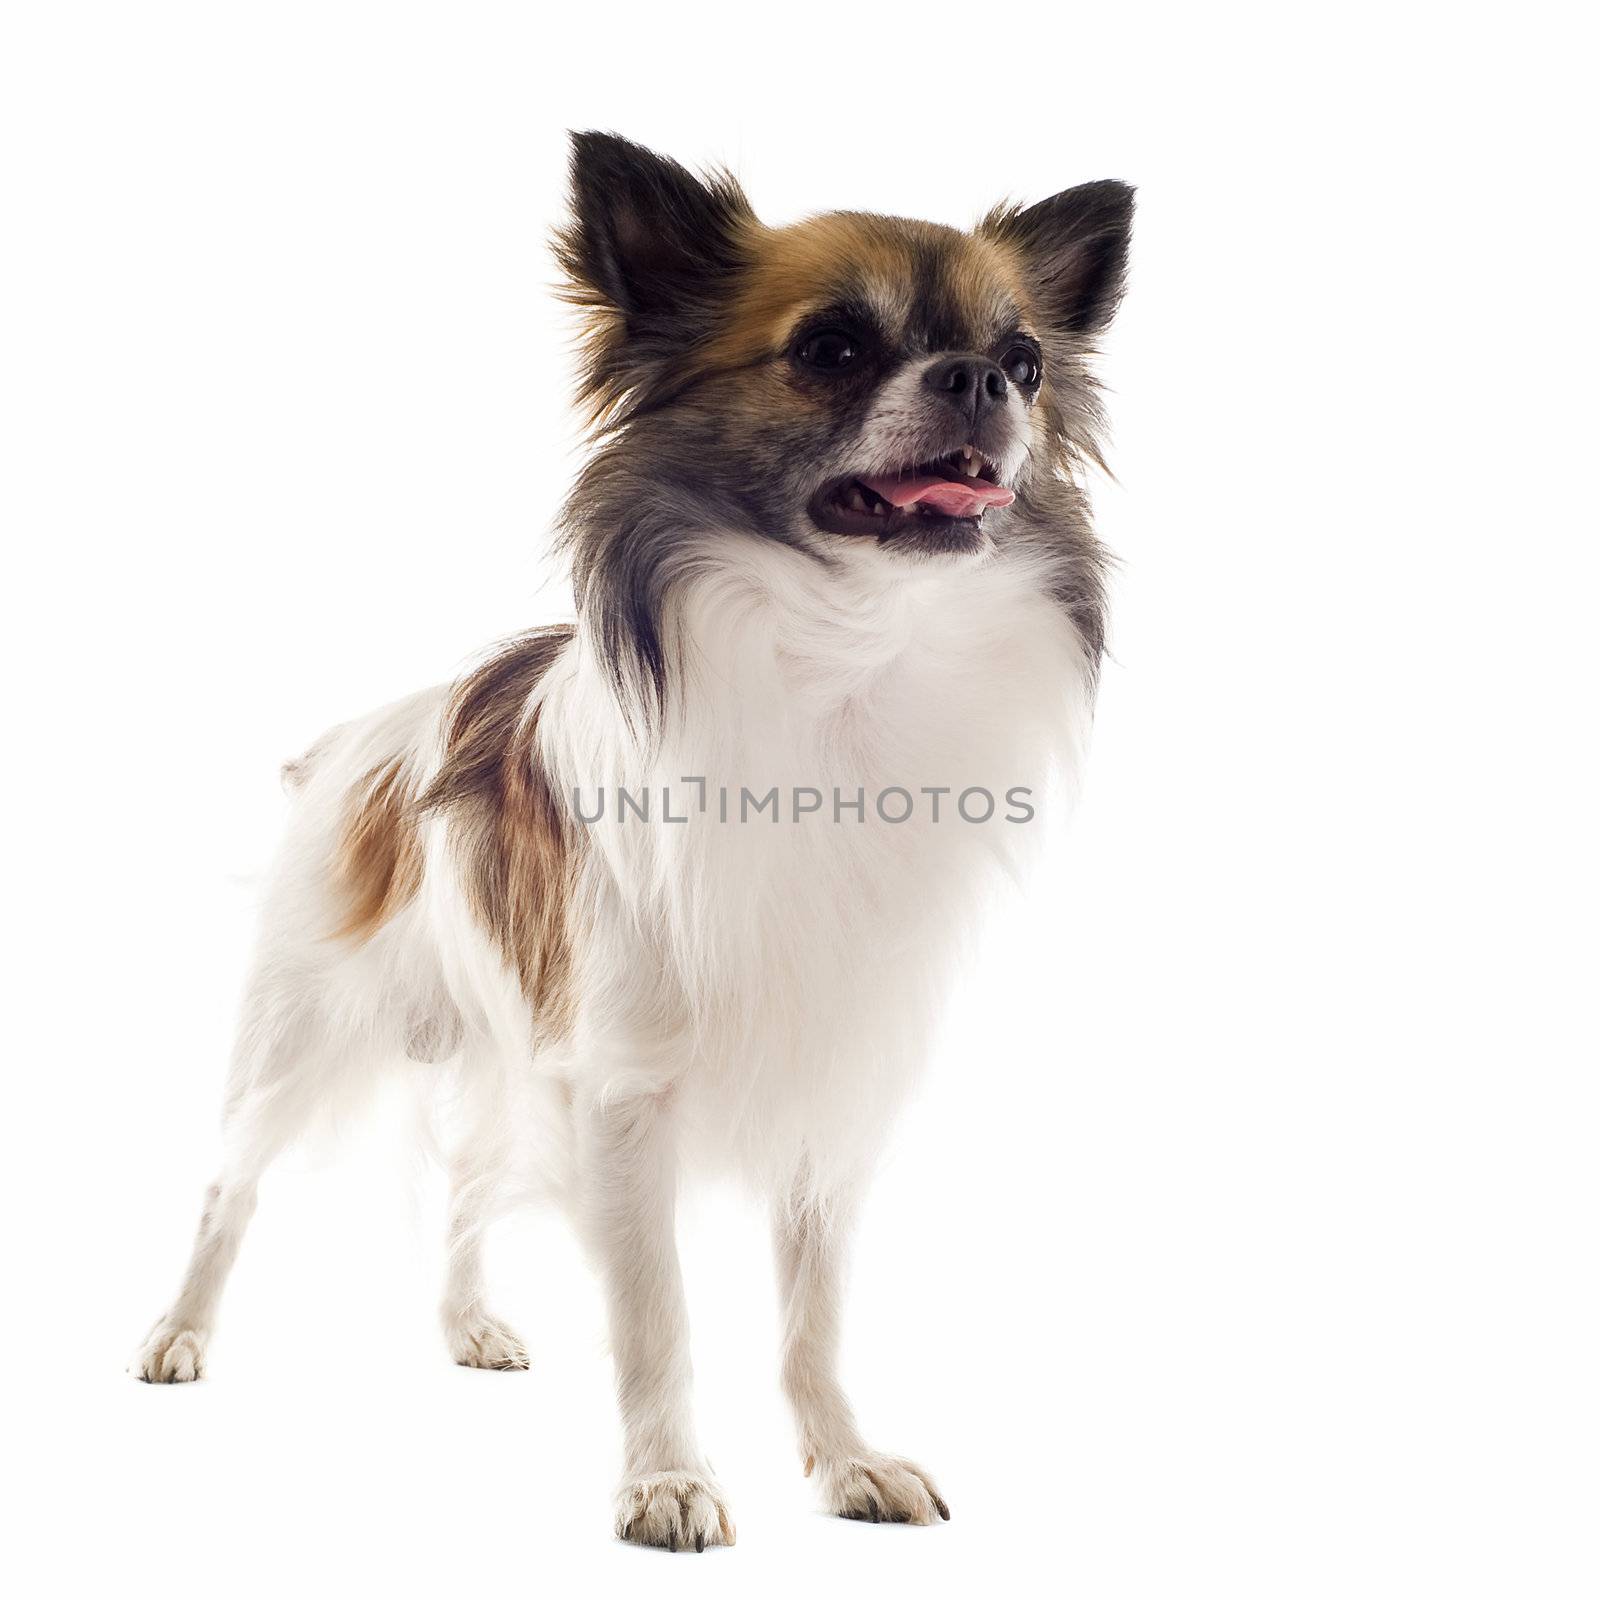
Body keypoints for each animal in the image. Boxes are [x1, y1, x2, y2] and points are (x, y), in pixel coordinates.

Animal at [137, 128, 1139, 1548]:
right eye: (832, 347)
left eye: (1028, 362)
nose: (978, 380)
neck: (841, 657)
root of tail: (342, 748)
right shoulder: (624, 1094)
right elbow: (656, 1312)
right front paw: (666, 1480)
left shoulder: (825, 1096)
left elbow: (813, 1313)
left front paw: (843, 1459)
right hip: (298, 1039)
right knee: (230, 1187)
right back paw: (177, 1335)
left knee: (464, 1185)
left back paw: (469, 1326)